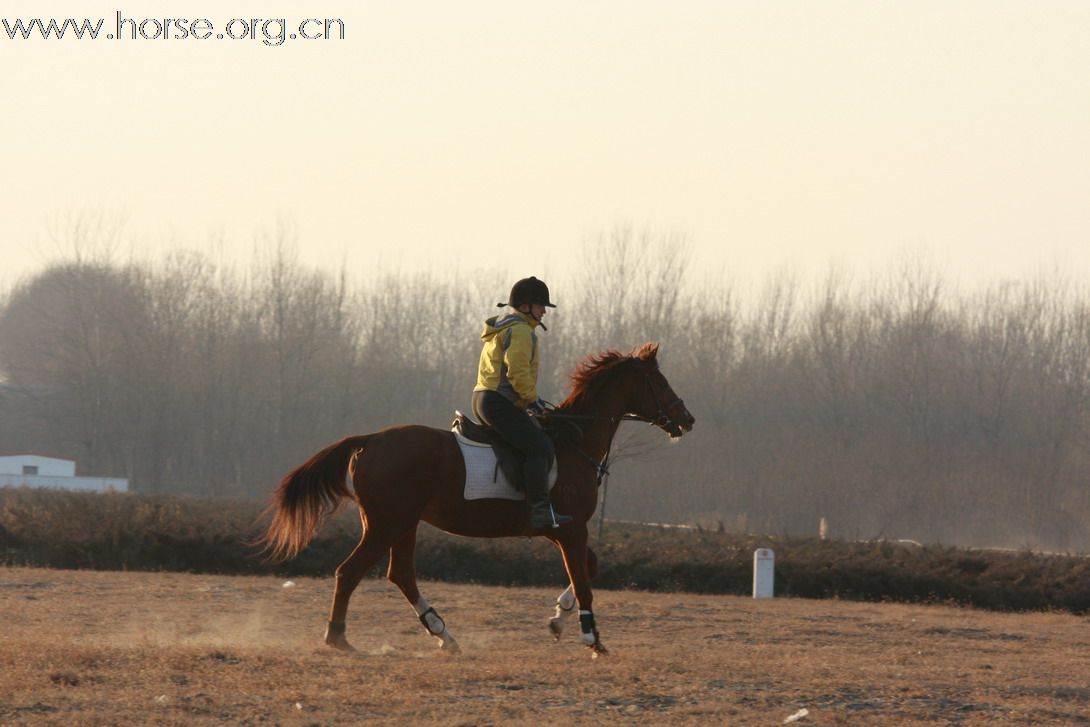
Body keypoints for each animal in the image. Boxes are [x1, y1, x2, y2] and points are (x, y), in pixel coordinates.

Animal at [259, 344, 693, 658]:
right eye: (660, 382)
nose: (687, 420)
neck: (574, 441)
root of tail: (370, 440)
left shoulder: (565, 532)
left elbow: (589, 568)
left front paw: (558, 620)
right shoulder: (570, 530)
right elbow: (584, 579)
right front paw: (592, 638)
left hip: (402, 524)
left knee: (400, 574)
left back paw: (443, 634)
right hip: (387, 523)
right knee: (350, 572)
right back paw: (339, 638)